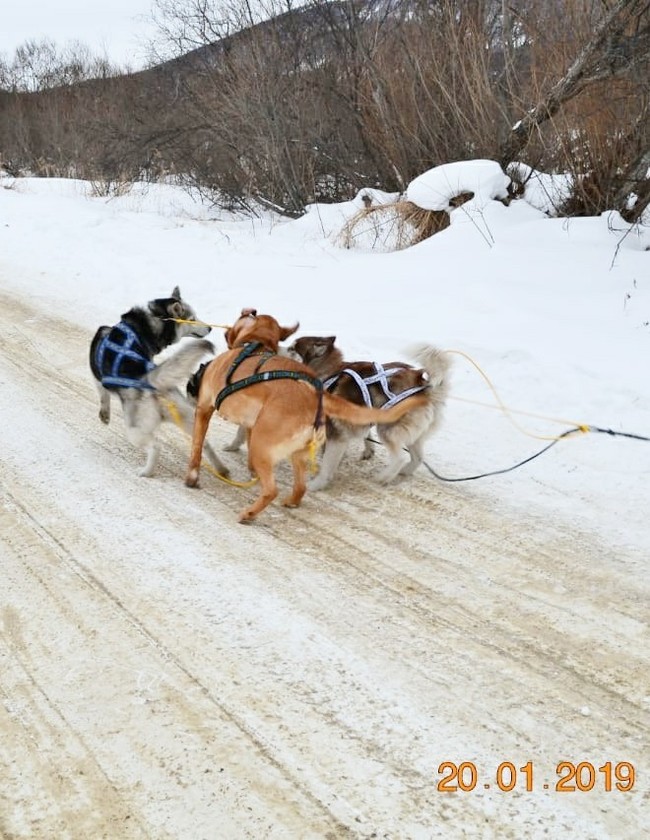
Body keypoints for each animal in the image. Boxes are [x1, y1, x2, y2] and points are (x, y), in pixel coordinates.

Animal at [185, 310, 428, 520]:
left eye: (293, 348)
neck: (254, 345)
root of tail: (315, 394)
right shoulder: (251, 423)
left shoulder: (204, 409)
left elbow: (197, 447)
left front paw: (192, 477)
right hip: (299, 451)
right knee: (300, 487)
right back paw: (291, 500)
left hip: (266, 448)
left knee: (272, 490)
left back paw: (249, 513)